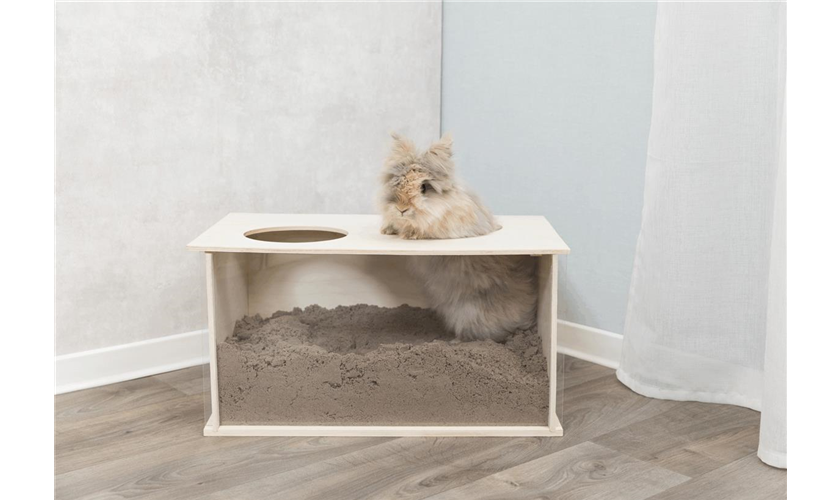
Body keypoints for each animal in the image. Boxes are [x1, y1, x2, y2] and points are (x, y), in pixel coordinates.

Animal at [379, 133, 537, 342]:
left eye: (424, 187)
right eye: (396, 182)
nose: (401, 209)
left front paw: (410, 234)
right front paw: (388, 229)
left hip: (469, 312)